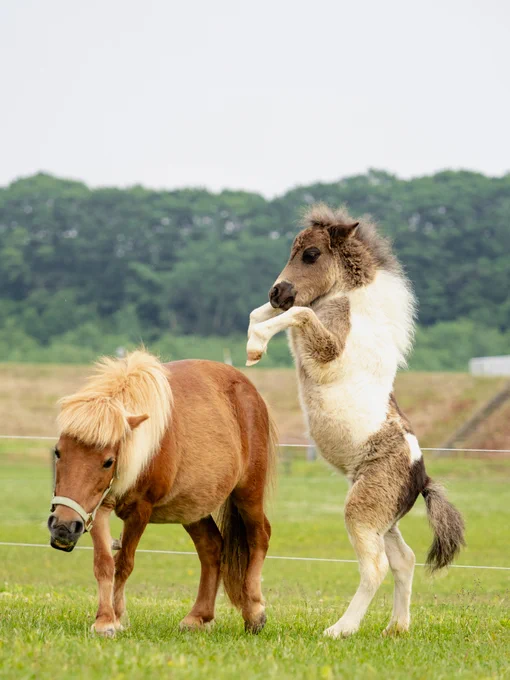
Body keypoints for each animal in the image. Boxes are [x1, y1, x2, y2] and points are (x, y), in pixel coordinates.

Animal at [48, 350, 277, 637]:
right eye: (58, 452)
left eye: (108, 461)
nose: (63, 527)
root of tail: (251, 392)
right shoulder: (98, 507)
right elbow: (104, 563)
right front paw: (104, 620)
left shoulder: (140, 510)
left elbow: (124, 564)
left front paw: (117, 617)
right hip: (192, 508)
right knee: (212, 547)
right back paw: (198, 617)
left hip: (248, 492)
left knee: (259, 536)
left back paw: (254, 612)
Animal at [246, 203, 465, 638]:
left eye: (311, 254)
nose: (277, 291)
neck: (348, 307)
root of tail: (421, 476)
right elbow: (268, 312)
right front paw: (252, 345)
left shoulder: (326, 351)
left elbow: (298, 313)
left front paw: (256, 344)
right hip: (382, 517)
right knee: (404, 559)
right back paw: (396, 627)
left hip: (362, 510)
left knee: (376, 566)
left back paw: (341, 628)